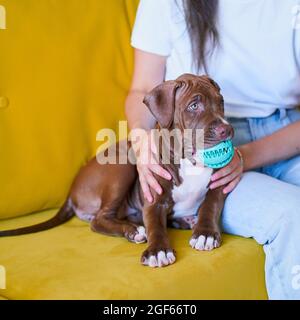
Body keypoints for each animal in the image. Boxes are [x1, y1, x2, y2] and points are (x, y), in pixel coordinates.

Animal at [0, 74, 233, 268]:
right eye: (194, 105)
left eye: (221, 102)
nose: (227, 129)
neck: (190, 161)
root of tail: (71, 191)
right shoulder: (153, 198)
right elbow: (155, 226)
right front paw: (158, 250)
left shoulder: (218, 186)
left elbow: (209, 207)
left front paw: (205, 233)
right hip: (122, 168)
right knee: (99, 220)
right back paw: (134, 230)